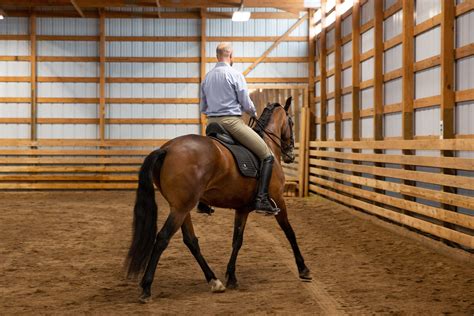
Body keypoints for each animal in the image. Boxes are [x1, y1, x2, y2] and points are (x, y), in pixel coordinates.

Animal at [126, 97, 312, 302]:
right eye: (291, 122)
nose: (290, 155)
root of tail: (166, 149)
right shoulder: (278, 200)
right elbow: (290, 233)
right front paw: (303, 269)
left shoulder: (242, 209)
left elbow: (237, 240)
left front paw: (231, 276)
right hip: (180, 209)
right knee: (162, 238)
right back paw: (146, 287)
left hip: (182, 208)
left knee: (191, 241)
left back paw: (214, 281)